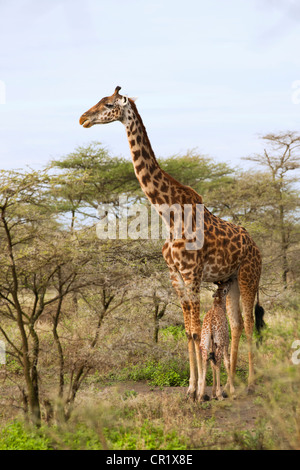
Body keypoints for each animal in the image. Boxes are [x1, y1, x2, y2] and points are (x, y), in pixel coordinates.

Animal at [79, 86, 264, 398]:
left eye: (107, 104)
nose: (83, 118)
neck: (169, 213)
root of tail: (256, 246)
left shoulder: (192, 274)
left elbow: (197, 331)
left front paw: (200, 391)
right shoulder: (175, 275)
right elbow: (188, 331)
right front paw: (190, 388)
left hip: (250, 275)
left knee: (250, 323)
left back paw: (249, 384)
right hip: (232, 279)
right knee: (237, 324)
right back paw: (230, 385)